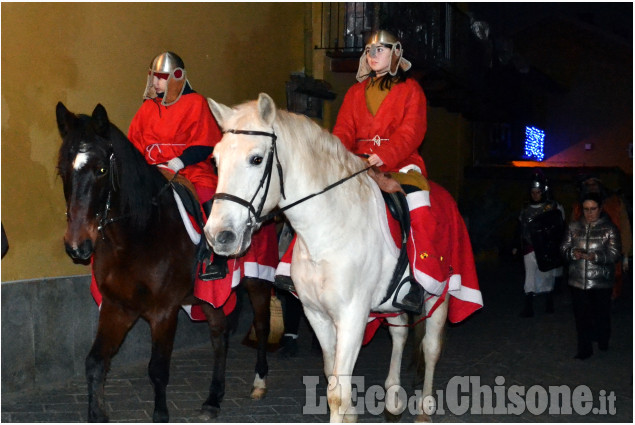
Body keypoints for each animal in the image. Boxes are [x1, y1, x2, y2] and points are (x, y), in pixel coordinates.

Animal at [56, 102, 272, 420]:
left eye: (101, 169)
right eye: (62, 170)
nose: (77, 246)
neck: (139, 232)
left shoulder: (164, 312)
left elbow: (157, 369)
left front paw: (160, 414)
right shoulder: (118, 306)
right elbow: (95, 362)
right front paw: (97, 413)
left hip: (258, 280)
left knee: (261, 324)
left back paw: (259, 382)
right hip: (209, 298)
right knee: (219, 334)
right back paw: (213, 398)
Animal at [206, 93, 450, 420]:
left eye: (256, 159)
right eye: (216, 160)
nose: (218, 235)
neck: (327, 234)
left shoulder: (352, 317)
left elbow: (338, 393)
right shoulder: (317, 314)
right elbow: (331, 373)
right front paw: (353, 414)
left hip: (440, 295)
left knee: (431, 347)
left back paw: (424, 408)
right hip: (390, 303)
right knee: (399, 335)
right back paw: (393, 398)